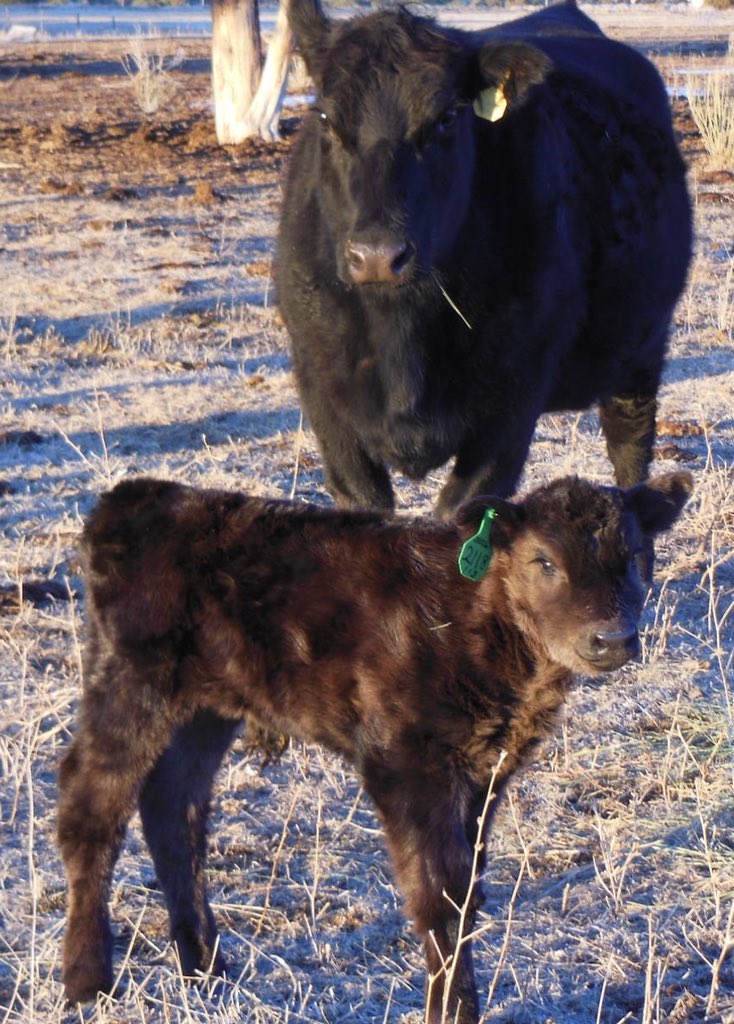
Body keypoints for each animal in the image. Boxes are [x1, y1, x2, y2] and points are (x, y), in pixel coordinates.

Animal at [58, 470, 692, 1024]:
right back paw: (88, 981)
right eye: (545, 561)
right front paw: (453, 1012)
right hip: (130, 683)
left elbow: (468, 890)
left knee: (173, 810)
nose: (611, 639)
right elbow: (438, 894)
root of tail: (136, 497)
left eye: (636, 556)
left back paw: (205, 966)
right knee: (91, 809)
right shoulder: (406, 764)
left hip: (207, 708)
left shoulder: (485, 772)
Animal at [276, 0, 691, 524]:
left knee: (630, 450)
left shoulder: (511, 408)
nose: (377, 256)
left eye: (447, 119)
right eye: (326, 117)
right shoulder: (324, 400)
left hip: (641, 352)